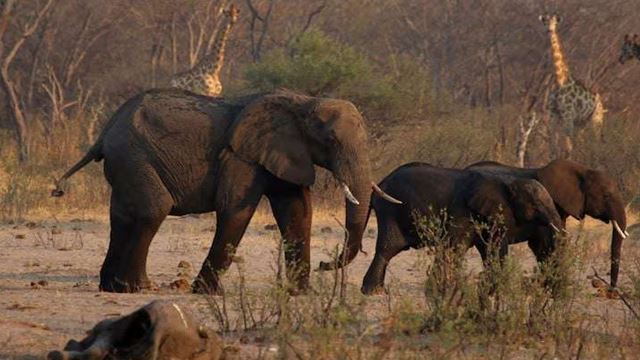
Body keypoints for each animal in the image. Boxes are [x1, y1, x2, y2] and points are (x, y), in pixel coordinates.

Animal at [53, 88, 400, 294]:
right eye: (330, 140)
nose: (326, 265)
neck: (302, 101)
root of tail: (104, 132)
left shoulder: (283, 154)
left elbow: (297, 213)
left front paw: (301, 294)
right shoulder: (241, 156)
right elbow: (236, 210)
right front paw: (206, 293)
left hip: (126, 162)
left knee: (122, 216)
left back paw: (111, 287)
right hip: (134, 156)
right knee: (153, 209)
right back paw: (139, 288)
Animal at [362, 163, 564, 296]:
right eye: (536, 206)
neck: (508, 181)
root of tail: (379, 183)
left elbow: (490, 249)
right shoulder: (463, 210)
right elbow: (456, 247)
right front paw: (439, 292)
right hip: (390, 210)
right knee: (388, 248)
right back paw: (372, 292)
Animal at [540, 13, 604, 146]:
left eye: (555, 23)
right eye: (545, 22)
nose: (550, 30)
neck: (559, 80)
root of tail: (601, 101)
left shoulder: (568, 115)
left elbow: (568, 145)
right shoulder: (553, 115)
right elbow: (553, 143)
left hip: (596, 119)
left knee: (596, 142)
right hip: (582, 122)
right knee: (581, 139)